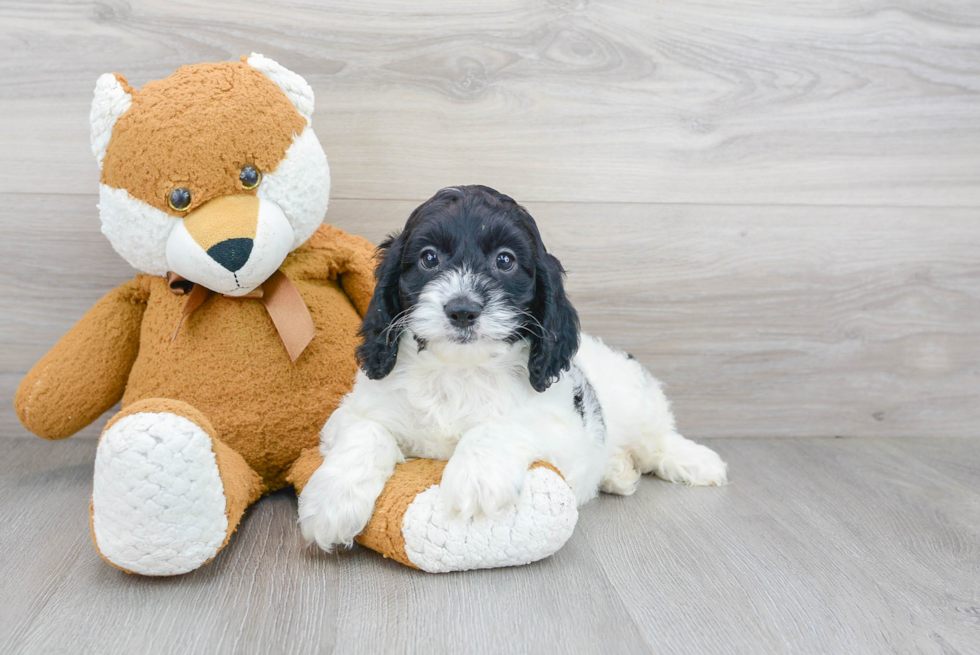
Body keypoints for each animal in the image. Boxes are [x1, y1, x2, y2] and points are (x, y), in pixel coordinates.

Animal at [298, 186, 728, 552]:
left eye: (505, 260)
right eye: (429, 258)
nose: (462, 309)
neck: (460, 372)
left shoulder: (563, 429)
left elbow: (503, 424)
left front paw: (475, 477)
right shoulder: (354, 410)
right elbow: (366, 431)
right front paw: (332, 501)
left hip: (634, 397)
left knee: (658, 439)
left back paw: (697, 461)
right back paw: (618, 470)